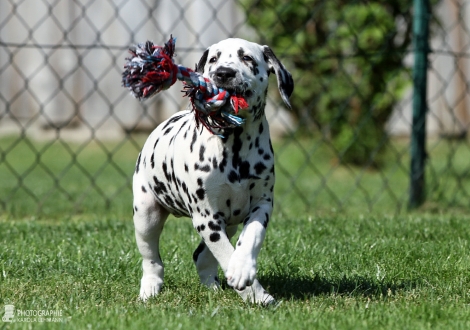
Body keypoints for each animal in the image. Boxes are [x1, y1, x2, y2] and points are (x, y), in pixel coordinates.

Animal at [133, 38, 294, 304]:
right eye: (214, 59)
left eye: (247, 58)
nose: (223, 73)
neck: (235, 145)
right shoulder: (206, 216)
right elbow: (226, 254)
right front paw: (256, 294)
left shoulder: (261, 204)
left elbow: (250, 238)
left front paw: (243, 270)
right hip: (147, 215)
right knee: (152, 259)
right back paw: (150, 288)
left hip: (228, 223)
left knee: (202, 256)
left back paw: (212, 286)